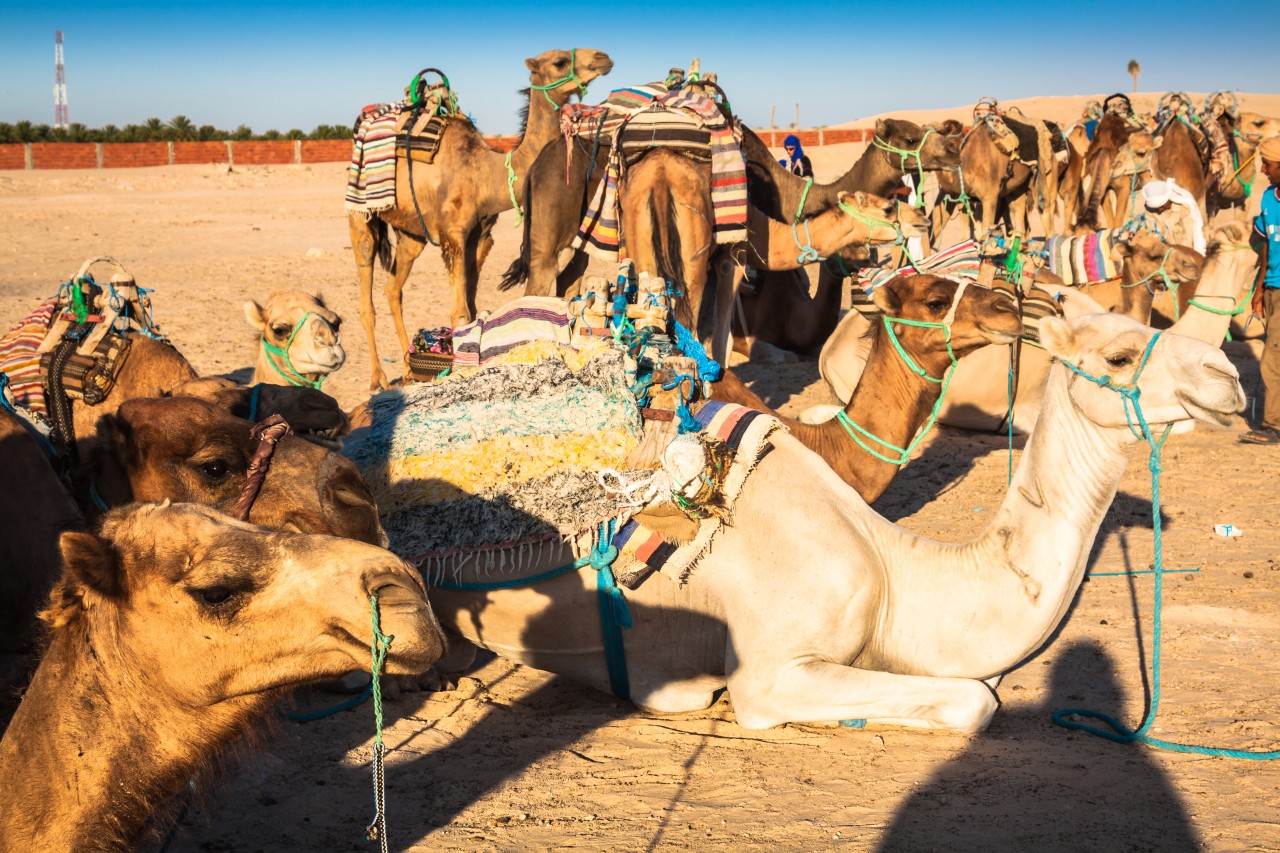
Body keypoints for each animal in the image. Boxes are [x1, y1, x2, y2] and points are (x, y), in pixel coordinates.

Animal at [348, 48, 611, 389]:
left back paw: (407, 368)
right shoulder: (453, 235)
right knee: (366, 282)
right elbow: (460, 312)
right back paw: (378, 377)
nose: (603, 58)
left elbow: (472, 309)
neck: (486, 175)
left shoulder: (481, 235)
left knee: (393, 289)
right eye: (559, 62)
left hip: (411, 233)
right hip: (359, 212)